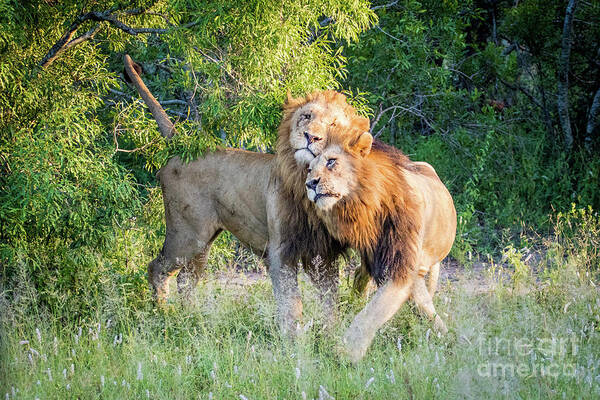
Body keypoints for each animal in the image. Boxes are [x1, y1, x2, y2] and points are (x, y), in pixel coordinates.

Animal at [122, 54, 370, 332]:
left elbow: (330, 299)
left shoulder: (322, 253)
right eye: (306, 116)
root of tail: (181, 144)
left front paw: (332, 333)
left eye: (334, 124)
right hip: (187, 236)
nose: (311, 137)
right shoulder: (280, 250)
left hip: (202, 242)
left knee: (185, 280)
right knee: (157, 268)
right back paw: (164, 316)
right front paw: (292, 337)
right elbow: (291, 301)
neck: (304, 177)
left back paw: (192, 320)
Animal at [308, 126, 458, 362]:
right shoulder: (380, 258)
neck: (369, 206)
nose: (310, 184)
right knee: (361, 277)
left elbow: (373, 313)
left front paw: (346, 352)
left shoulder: (402, 267)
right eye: (309, 169)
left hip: (433, 263)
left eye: (331, 161)